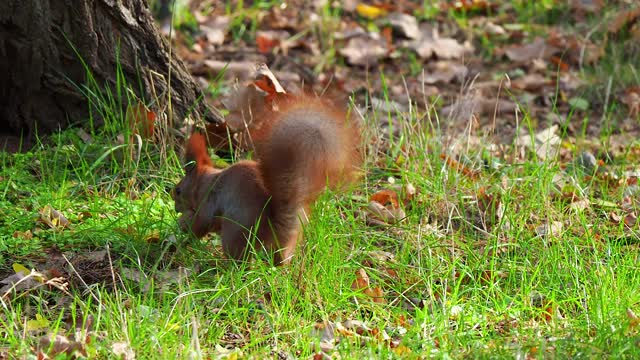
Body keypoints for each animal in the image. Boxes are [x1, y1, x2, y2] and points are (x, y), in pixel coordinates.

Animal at [172, 95, 358, 264]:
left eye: (177, 190)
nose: (175, 208)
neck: (206, 183)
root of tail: (273, 228)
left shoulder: (208, 203)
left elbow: (200, 225)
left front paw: (183, 230)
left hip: (235, 233)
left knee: (240, 261)